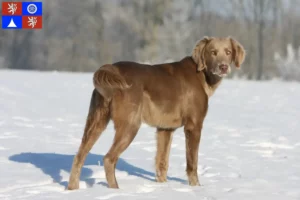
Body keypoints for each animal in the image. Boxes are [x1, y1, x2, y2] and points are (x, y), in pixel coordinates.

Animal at [68, 36, 246, 191]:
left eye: (228, 52)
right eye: (213, 52)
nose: (223, 67)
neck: (202, 75)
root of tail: (111, 69)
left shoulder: (165, 129)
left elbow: (162, 163)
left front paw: (162, 187)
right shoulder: (194, 125)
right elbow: (192, 163)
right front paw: (196, 188)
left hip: (97, 121)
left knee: (79, 156)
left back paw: (73, 189)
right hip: (130, 125)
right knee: (108, 159)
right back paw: (116, 190)